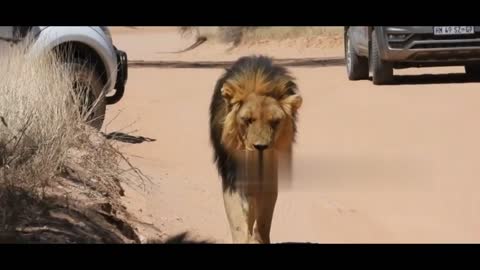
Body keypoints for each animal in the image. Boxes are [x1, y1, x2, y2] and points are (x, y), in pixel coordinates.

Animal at [208, 56, 302, 244]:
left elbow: (264, 217)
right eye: (248, 120)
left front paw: (259, 238)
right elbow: (239, 216)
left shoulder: (269, 171)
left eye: (275, 121)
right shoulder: (232, 175)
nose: (260, 147)